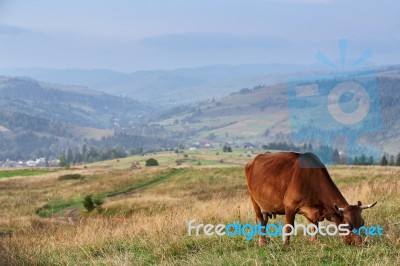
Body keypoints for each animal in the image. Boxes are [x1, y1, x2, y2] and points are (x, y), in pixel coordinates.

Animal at [245, 152, 376, 245]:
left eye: (362, 223)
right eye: (348, 225)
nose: (360, 244)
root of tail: (253, 160)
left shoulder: (315, 211)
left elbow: (314, 227)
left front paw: (315, 242)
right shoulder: (289, 206)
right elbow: (289, 227)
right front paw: (285, 245)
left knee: (264, 221)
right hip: (254, 200)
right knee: (259, 220)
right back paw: (262, 242)